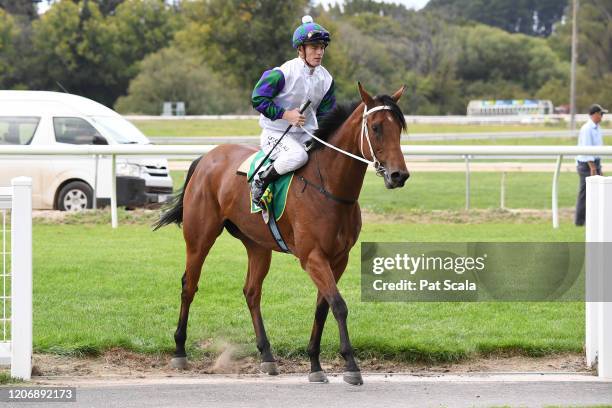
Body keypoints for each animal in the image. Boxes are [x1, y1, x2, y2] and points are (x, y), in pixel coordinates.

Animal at [155, 83, 408, 386]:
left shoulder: (338, 259)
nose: (399, 175)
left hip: (257, 245)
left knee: (252, 292)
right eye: (376, 127)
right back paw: (180, 350)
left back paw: (267, 356)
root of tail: (207, 157)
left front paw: (315, 364)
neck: (328, 187)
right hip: (199, 238)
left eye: (400, 127)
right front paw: (350, 365)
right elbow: (338, 305)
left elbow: (323, 307)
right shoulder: (312, 257)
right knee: (189, 286)